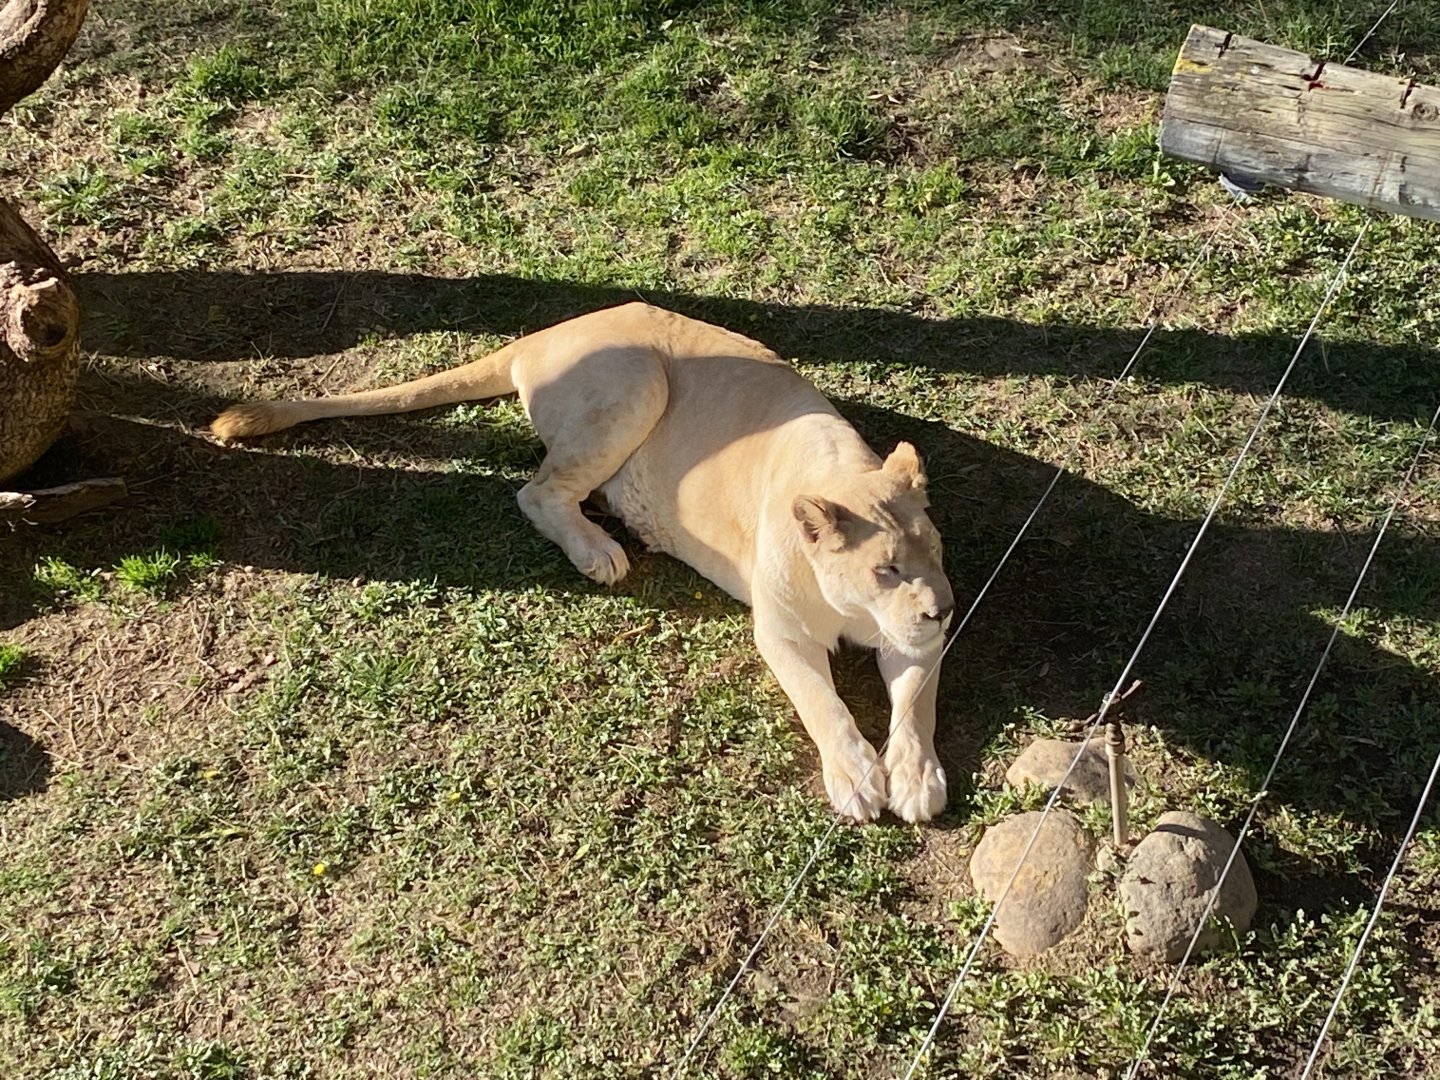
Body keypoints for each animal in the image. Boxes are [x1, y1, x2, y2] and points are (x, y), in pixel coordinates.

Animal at [212, 302, 955, 822]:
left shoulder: (914, 641)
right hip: (636, 383)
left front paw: (917, 779)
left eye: (935, 551)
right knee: (536, 492)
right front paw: (855, 778)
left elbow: (917, 706)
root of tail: (544, 333)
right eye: (885, 569)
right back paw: (601, 550)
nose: (945, 609)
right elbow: (821, 702)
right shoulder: (783, 631)